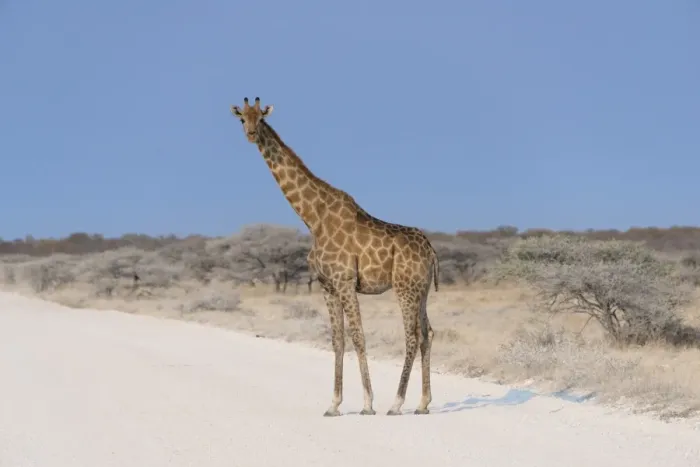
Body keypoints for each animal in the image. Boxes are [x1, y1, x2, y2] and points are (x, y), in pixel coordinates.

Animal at [230, 97, 439, 416]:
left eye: (261, 118)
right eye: (242, 118)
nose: (252, 134)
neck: (312, 218)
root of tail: (430, 249)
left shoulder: (344, 281)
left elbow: (358, 336)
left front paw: (367, 403)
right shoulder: (327, 285)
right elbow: (337, 340)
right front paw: (334, 404)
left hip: (405, 288)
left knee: (413, 336)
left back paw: (396, 403)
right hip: (422, 290)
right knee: (427, 333)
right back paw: (423, 403)